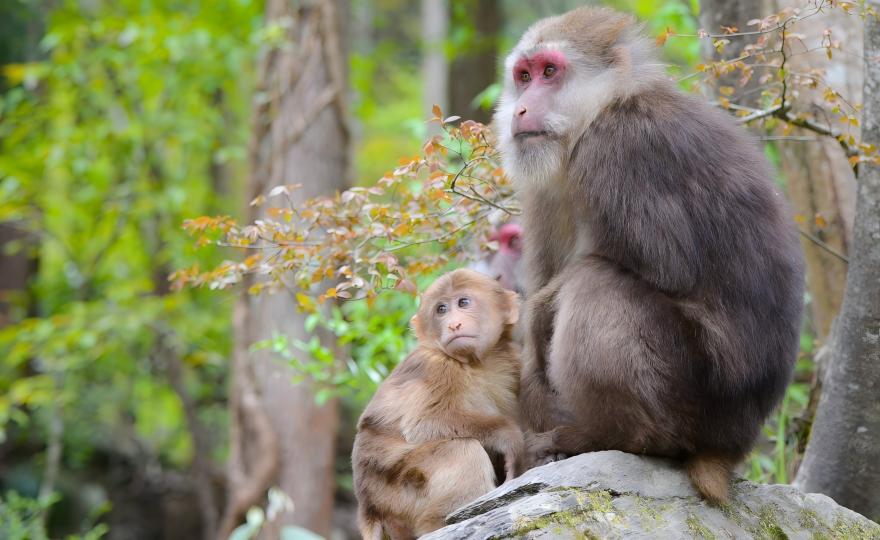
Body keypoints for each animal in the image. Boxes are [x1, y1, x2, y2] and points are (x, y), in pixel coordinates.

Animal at [351, 269, 524, 539]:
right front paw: (509, 437)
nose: (453, 324)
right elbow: (424, 423)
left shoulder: (512, 361)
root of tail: (369, 508)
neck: (474, 363)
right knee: (462, 449)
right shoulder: (435, 365)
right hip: (398, 490)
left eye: (463, 302)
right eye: (441, 309)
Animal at [493, 7, 805, 503]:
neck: (599, 112)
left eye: (549, 72)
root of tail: (734, 444)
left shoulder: (620, 147)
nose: (521, 108)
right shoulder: (542, 185)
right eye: (523, 77)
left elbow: (666, 267)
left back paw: (614, 438)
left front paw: (537, 312)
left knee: (597, 283)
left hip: (694, 395)